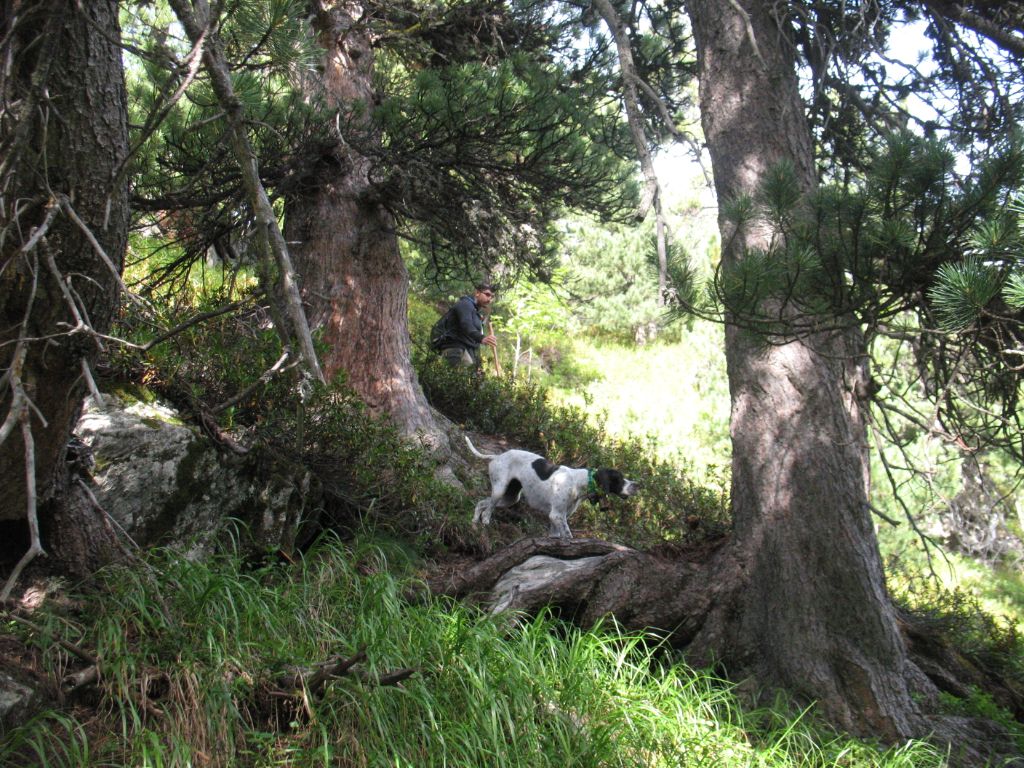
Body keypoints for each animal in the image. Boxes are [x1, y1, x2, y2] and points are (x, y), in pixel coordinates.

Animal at [466, 436, 638, 536]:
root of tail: (497, 456)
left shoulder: (558, 519)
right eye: (619, 479)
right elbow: (568, 537)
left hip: (511, 497)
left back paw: (474, 523)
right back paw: (484, 523)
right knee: (487, 511)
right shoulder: (556, 515)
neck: (578, 482)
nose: (637, 485)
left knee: (481, 503)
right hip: (500, 490)